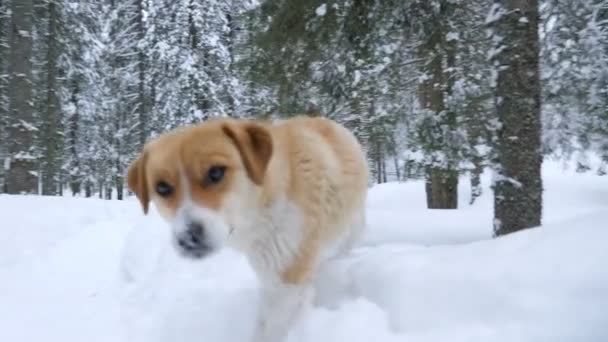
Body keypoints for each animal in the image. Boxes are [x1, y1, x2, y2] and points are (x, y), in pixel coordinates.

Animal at [126, 115, 368, 342]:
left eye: (216, 173)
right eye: (162, 187)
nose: (188, 238)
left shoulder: (287, 279)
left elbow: (269, 330)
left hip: (352, 219)